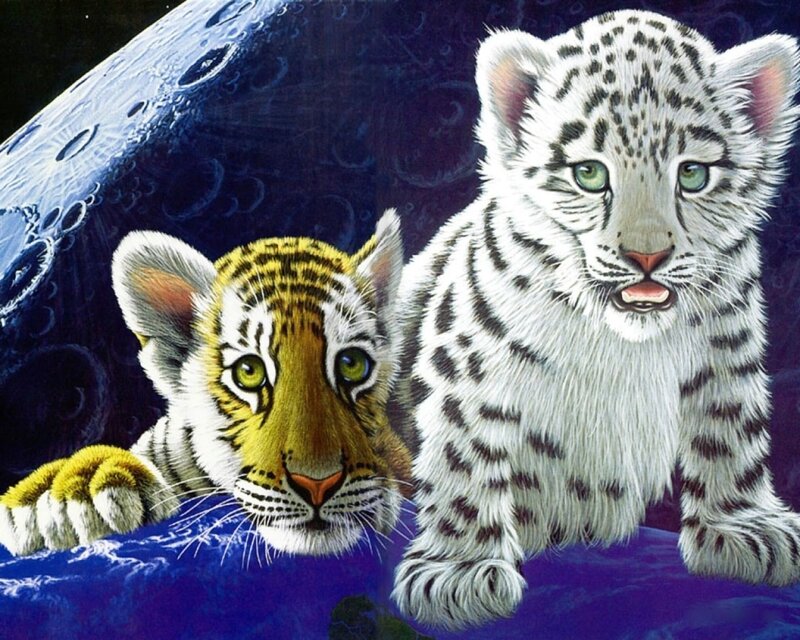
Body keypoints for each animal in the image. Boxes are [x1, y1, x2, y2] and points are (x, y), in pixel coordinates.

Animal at [390, 9, 800, 630]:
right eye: (588, 173)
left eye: (693, 175)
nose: (647, 255)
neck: (624, 343)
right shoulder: (469, 365)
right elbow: (464, 459)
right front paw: (458, 575)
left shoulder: (728, 353)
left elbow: (731, 434)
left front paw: (745, 528)